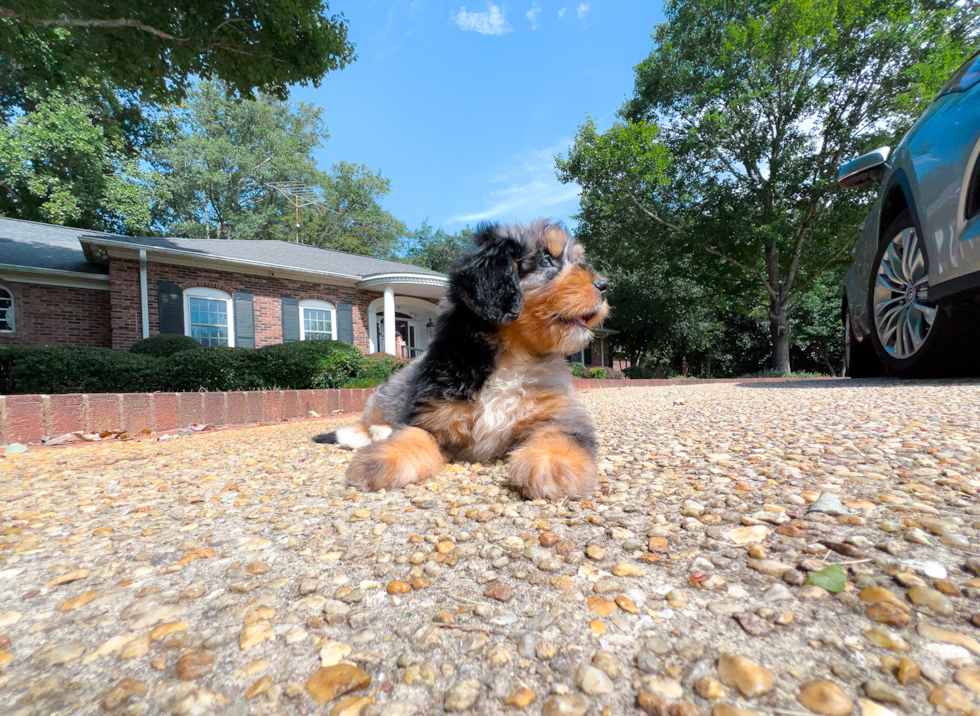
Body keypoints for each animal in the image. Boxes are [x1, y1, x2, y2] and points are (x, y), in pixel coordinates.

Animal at [312, 221, 604, 500]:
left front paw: (554, 465)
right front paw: (381, 460)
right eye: (545, 261)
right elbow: (413, 435)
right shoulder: (429, 413)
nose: (604, 286)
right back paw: (372, 434)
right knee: (362, 423)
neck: (514, 356)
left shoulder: (562, 414)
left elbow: (561, 435)